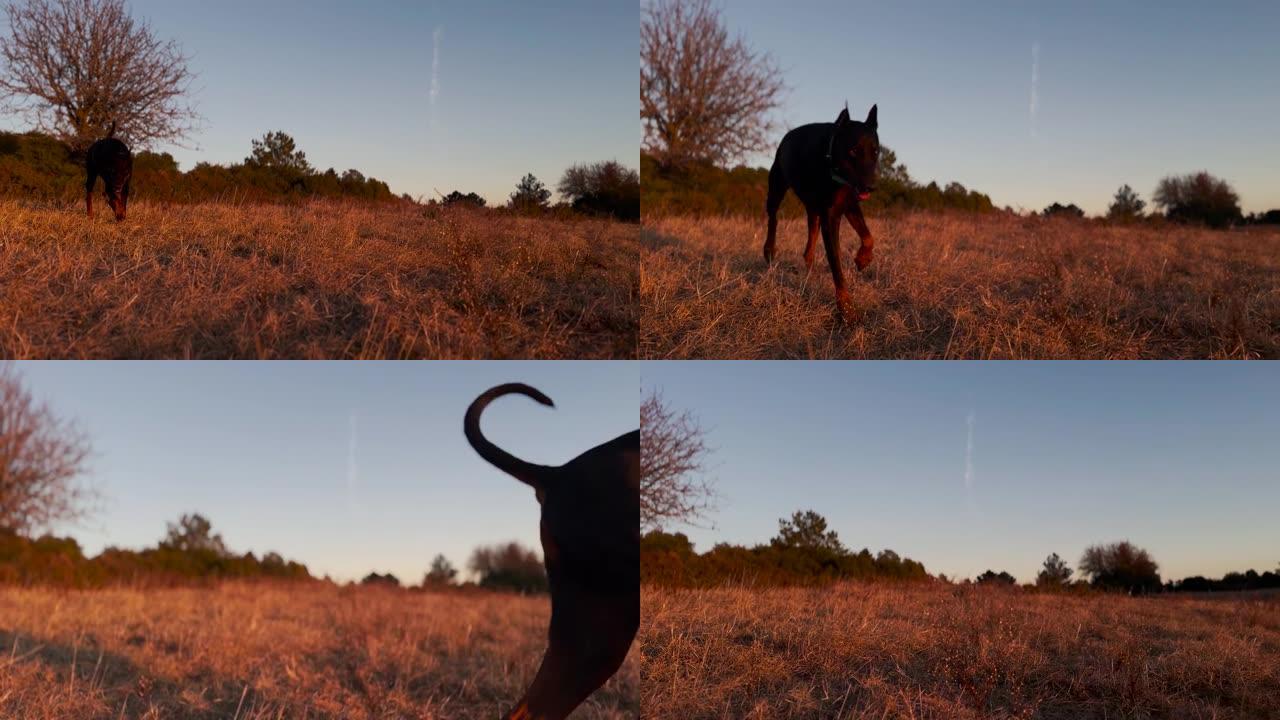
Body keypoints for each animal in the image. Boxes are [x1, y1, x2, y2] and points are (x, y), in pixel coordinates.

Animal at [762, 103, 875, 316]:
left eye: (876, 151)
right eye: (854, 150)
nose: (870, 187)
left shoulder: (849, 204)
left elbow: (868, 236)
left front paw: (863, 259)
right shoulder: (830, 217)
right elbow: (836, 263)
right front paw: (846, 308)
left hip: (813, 209)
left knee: (811, 238)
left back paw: (809, 264)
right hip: (777, 186)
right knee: (773, 217)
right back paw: (770, 249)